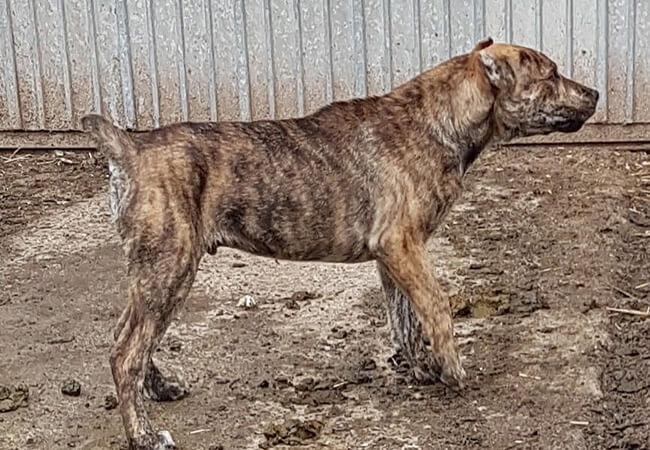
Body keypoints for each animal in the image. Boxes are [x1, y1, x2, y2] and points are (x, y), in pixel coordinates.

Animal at [82, 39, 596, 450]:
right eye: (550, 74)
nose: (594, 94)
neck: (437, 120)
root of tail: (130, 149)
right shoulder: (402, 245)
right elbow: (435, 305)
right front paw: (453, 372)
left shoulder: (394, 256)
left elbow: (404, 318)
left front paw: (422, 369)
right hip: (169, 267)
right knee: (125, 353)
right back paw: (143, 435)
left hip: (154, 273)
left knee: (126, 336)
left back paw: (159, 388)